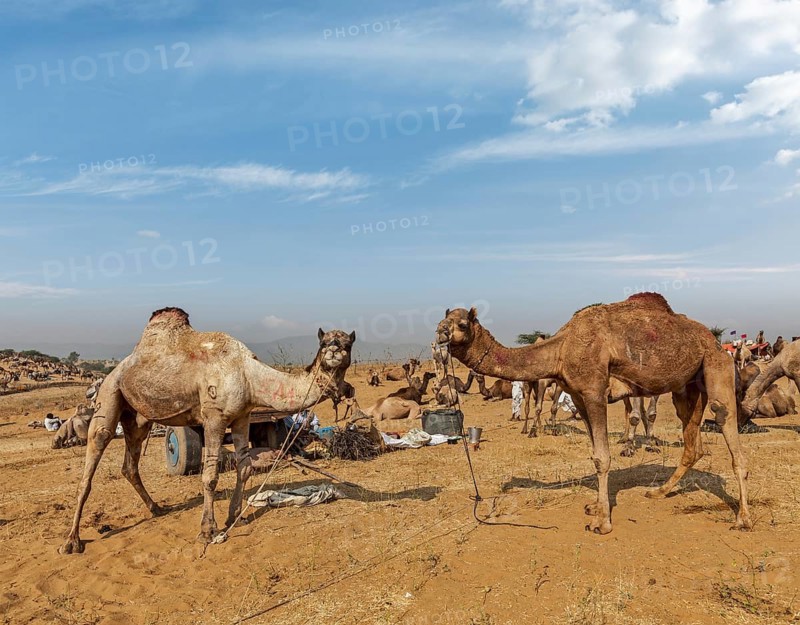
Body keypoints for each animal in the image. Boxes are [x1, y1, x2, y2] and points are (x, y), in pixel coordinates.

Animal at [60, 307, 354, 554]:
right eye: (324, 342)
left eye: (348, 343)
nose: (334, 352)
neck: (248, 375)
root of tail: (117, 368)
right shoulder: (214, 416)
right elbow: (210, 476)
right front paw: (208, 530)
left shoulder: (242, 416)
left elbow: (245, 468)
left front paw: (235, 516)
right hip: (110, 392)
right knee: (94, 454)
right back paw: (72, 541)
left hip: (139, 417)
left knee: (130, 464)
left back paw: (156, 509)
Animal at [436, 294, 751, 535]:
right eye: (442, 321)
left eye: (462, 323)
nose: (441, 333)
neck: (561, 348)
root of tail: (714, 341)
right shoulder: (577, 395)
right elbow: (595, 453)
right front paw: (596, 507)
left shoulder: (594, 391)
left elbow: (602, 457)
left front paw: (602, 522)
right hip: (686, 388)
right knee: (692, 443)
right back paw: (659, 491)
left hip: (717, 365)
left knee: (726, 424)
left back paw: (743, 519)